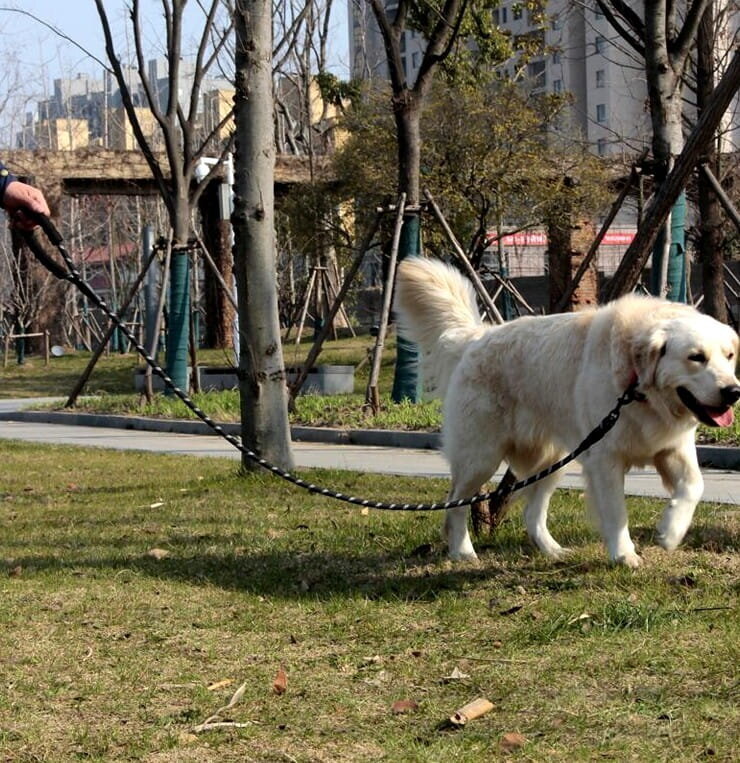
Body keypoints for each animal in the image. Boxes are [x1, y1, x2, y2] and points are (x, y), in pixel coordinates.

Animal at [396, 256, 740, 568]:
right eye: (696, 357)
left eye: (729, 356)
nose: (733, 391)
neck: (637, 388)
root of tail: (477, 337)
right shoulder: (605, 460)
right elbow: (616, 512)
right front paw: (624, 555)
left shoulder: (674, 448)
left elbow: (695, 485)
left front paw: (670, 531)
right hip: (480, 457)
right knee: (456, 503)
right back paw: (462, 551)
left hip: (555, 459)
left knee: (531, 512)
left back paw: (552, 550)